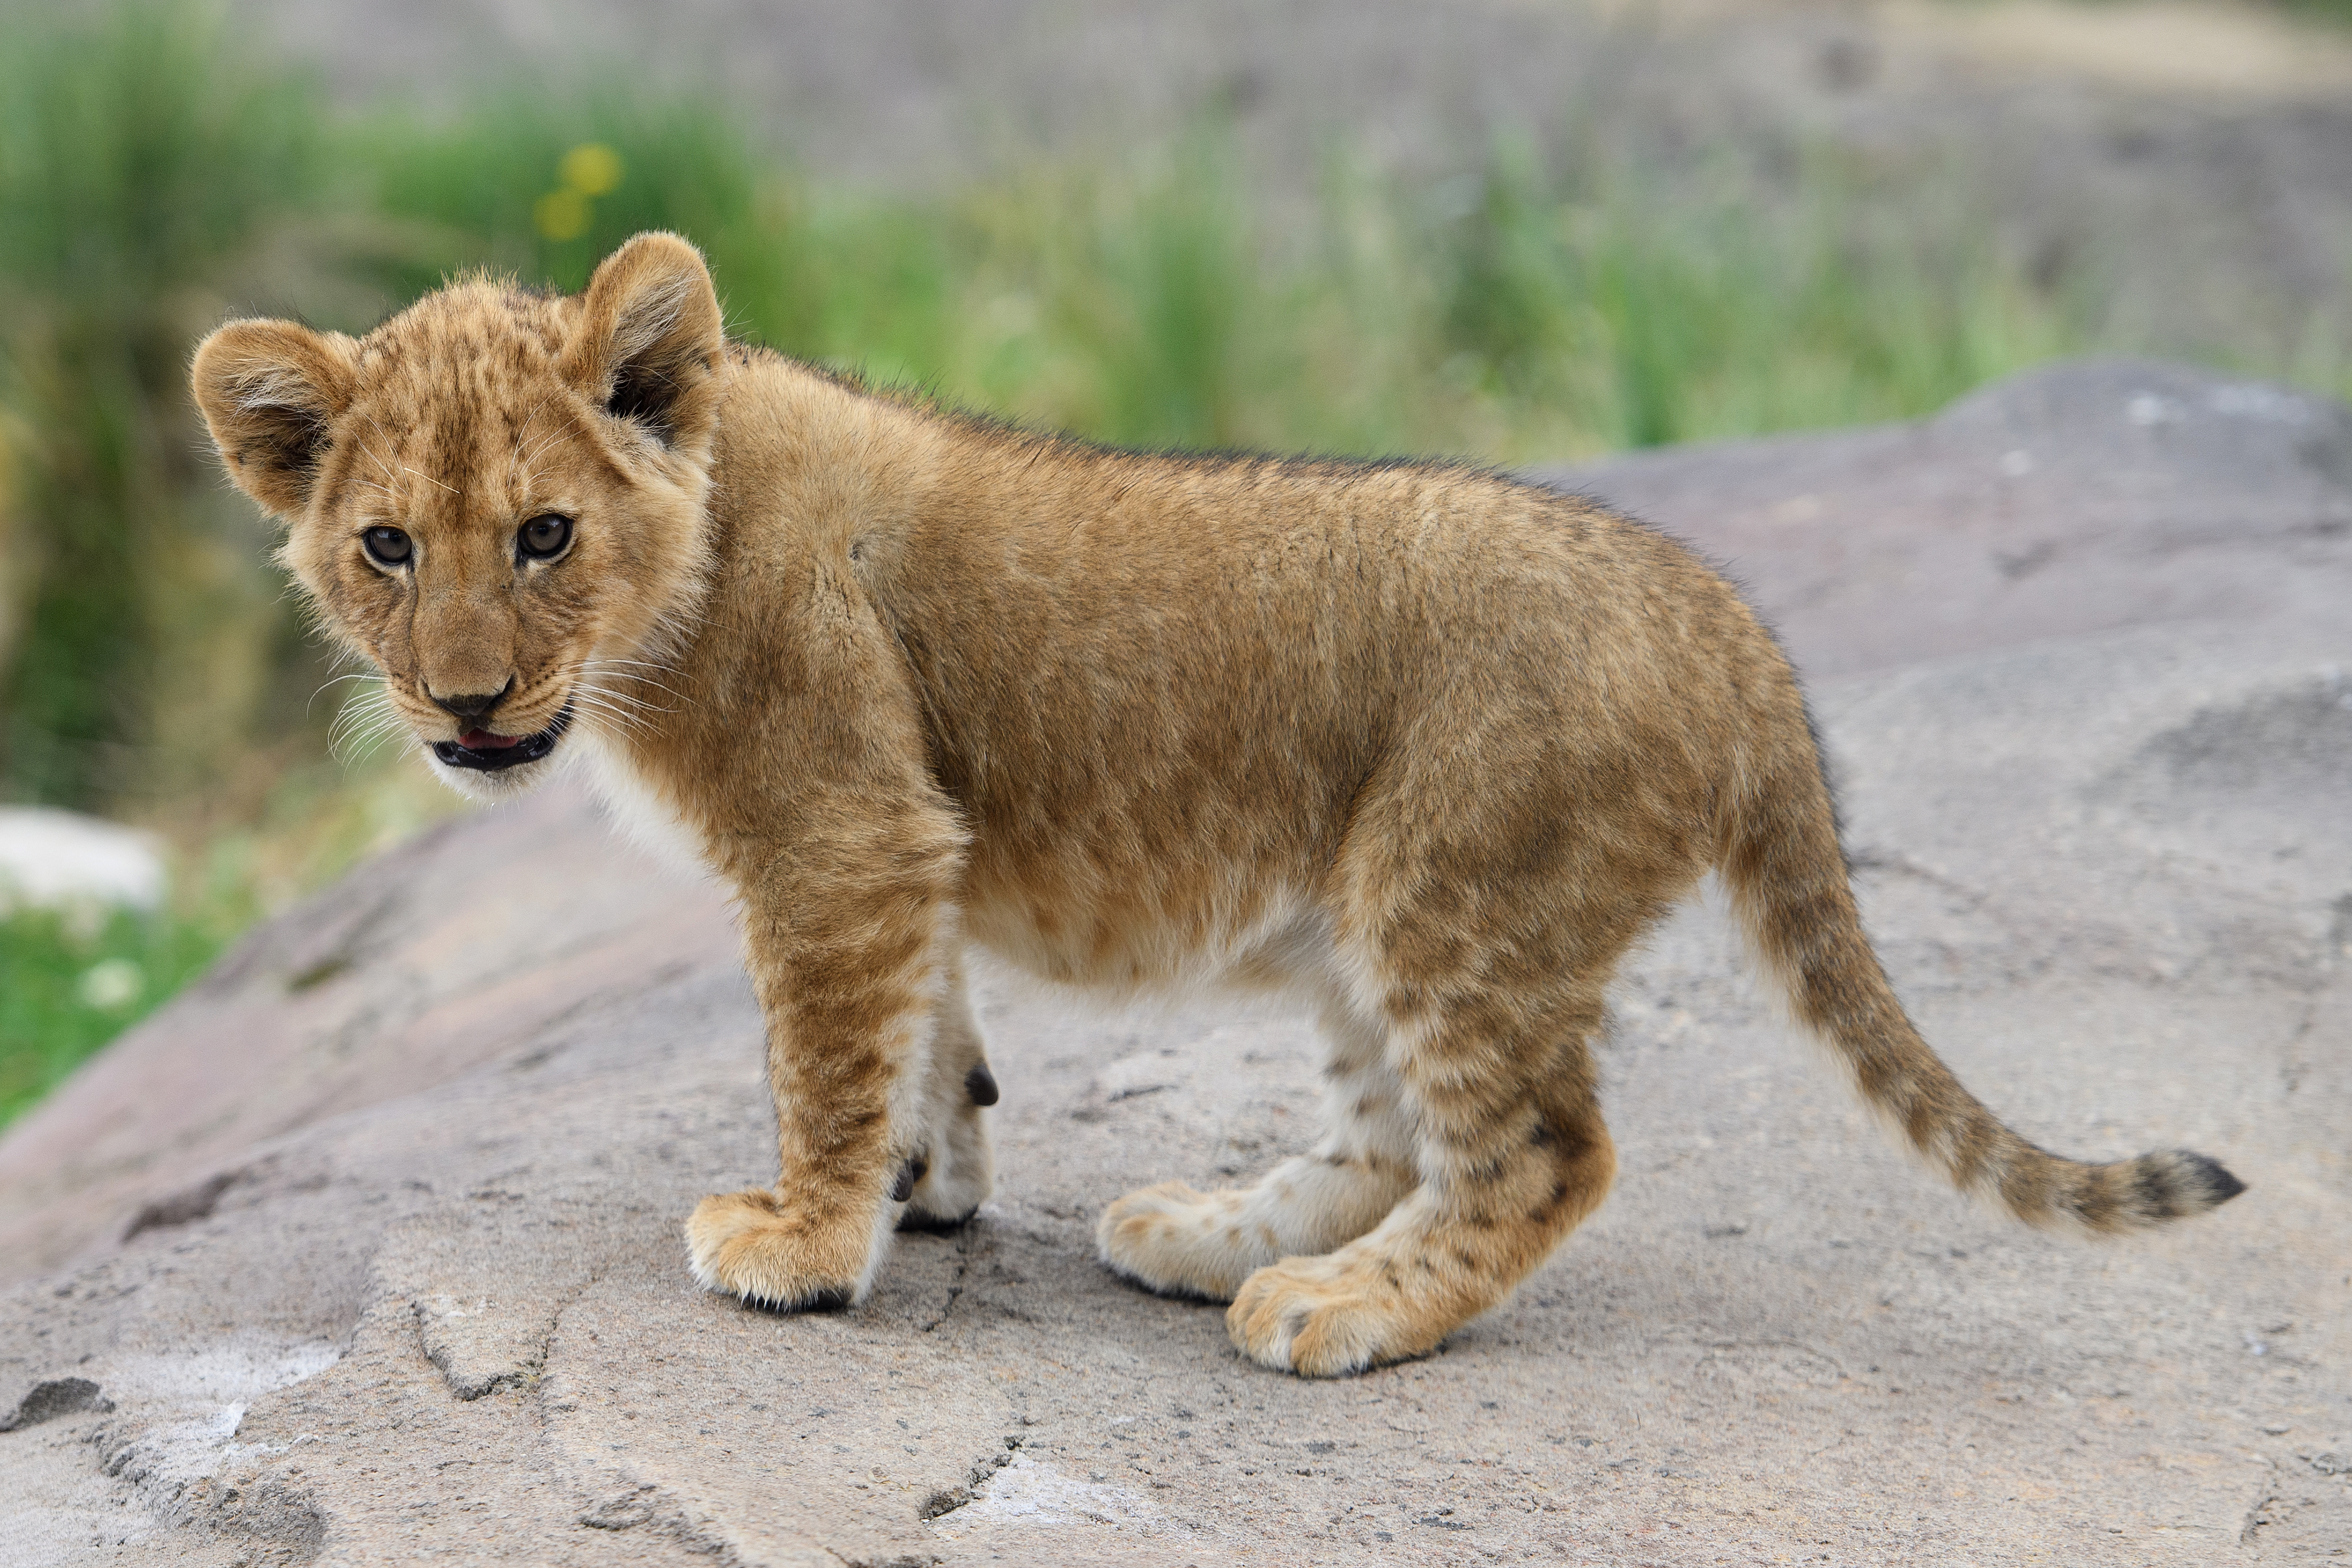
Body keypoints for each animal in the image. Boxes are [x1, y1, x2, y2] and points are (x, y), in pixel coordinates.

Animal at [188, 232, 2242, 1376]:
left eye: (543, 535)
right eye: (386, 547)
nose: (467, 705)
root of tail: (1733, 622)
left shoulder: (839, 836)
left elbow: (824, 1053)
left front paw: (805, 1246)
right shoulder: (906, 847)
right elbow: (925, 1033)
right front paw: (931, 1192)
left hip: (1456, 880)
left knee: (1538, 1151)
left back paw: (1338, 1312)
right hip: (1361, 917)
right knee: (1401, 1134)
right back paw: (1213, 1237)